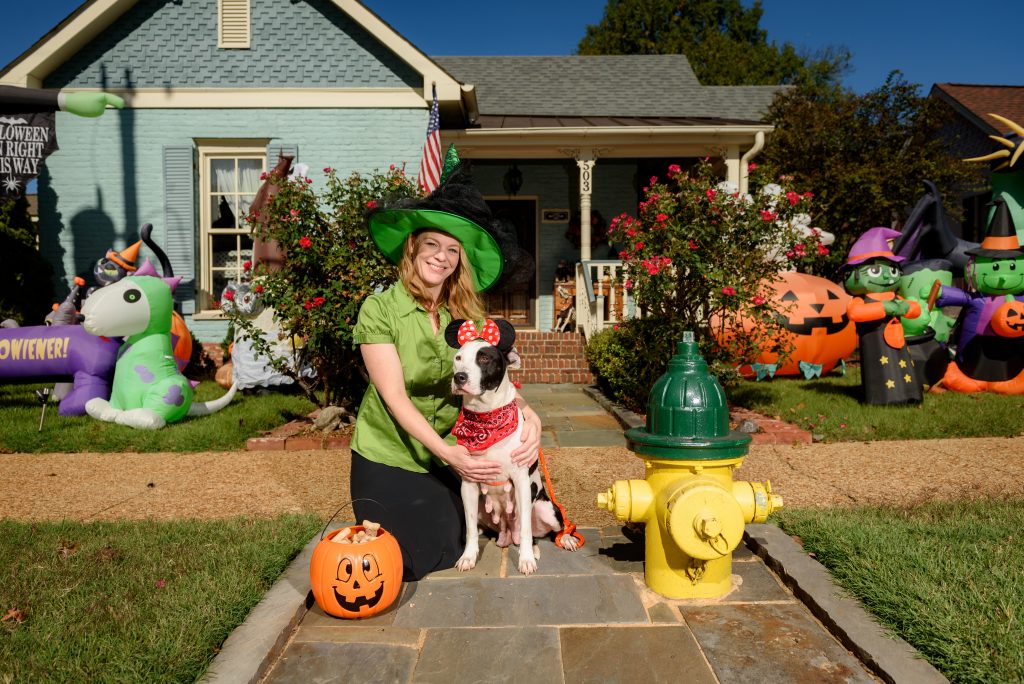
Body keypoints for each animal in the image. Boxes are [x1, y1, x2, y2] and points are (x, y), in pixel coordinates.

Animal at [444, 317, 581, 573]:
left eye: (484, 358)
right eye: (458, 358)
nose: (460, 378)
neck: (486, 419)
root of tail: (507, 533)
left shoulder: (521, 482)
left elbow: (526, 528)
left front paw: (526, 559)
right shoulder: (468, 484)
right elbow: (469, 529)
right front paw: (468, 556)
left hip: (547, 508)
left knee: (552, 529)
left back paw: (564, 540)